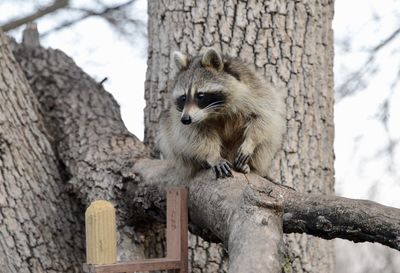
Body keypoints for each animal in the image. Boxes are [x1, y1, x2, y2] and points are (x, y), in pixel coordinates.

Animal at [158, 47, 286, 177]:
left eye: (200, 95)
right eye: (183, 98)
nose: (185, 119)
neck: (215, 111)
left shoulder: (254, 88)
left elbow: (263, 116)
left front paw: (250, 143)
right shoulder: (183, 117)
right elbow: (195, 135)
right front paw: (213, 156)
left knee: (268, 139)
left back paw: (250, 165)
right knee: (172, 137)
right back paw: (201, 162)